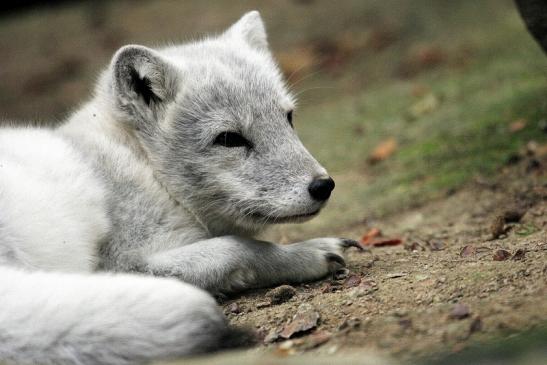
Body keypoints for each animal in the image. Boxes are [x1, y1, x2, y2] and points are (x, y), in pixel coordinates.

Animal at [0, 11, 360, 364]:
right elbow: (240, 246)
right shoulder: (124, 263)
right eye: (229, 139)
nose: (323, 186)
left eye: (288, 118)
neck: (144, 168)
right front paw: (304, 253)